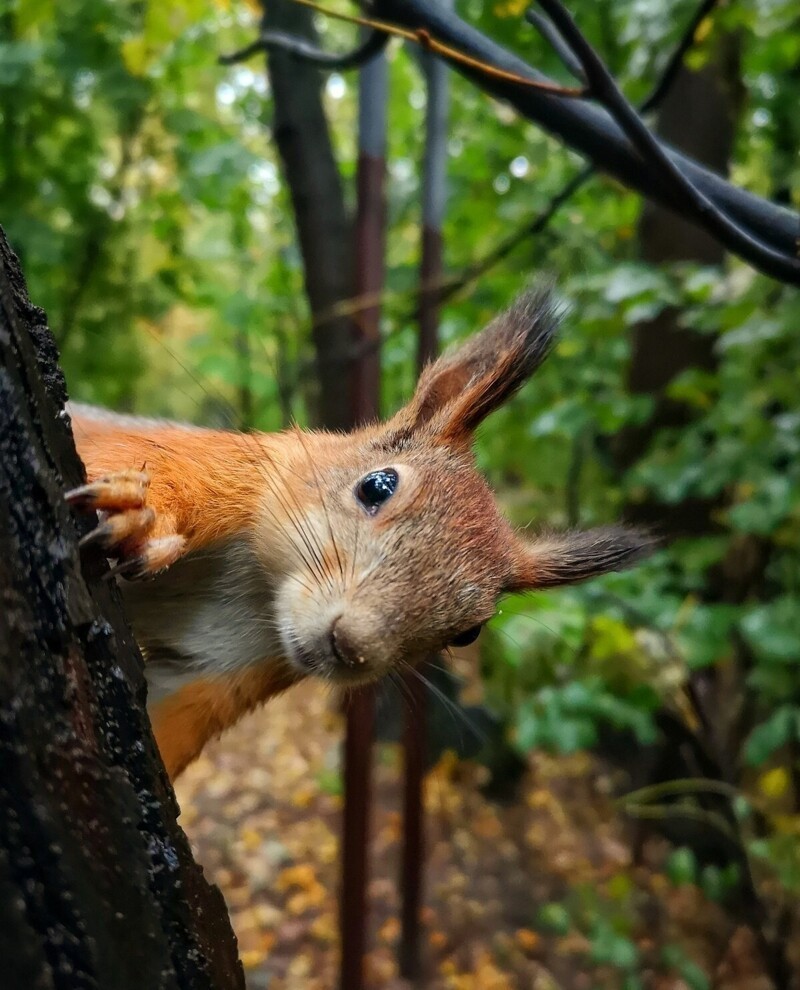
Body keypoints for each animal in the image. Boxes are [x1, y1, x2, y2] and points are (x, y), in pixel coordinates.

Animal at [65, 288, 652, 784]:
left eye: (469, 633)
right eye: (377, 485)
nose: (350, 647)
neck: (256, 595)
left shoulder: (223, 676)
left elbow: (172, 725)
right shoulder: (229, 470)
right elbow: (158, 473)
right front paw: (143, 511)